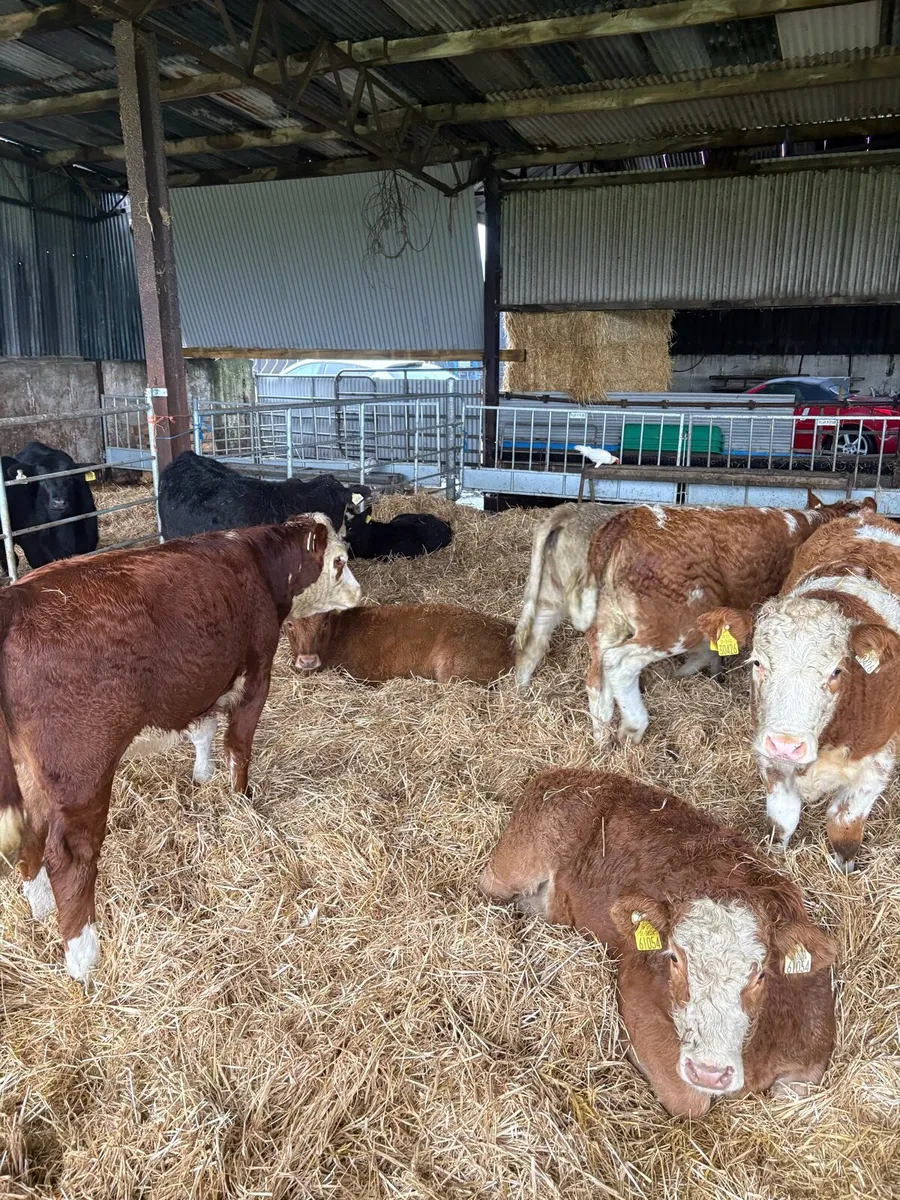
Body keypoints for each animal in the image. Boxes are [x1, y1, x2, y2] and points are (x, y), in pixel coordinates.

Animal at [0, 515, 360, 983]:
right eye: (339, 560)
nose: (358, 593)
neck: (256, 562)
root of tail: (16, 596)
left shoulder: (202, 682)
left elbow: (204, 729)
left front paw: (203, 777)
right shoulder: (257, 673)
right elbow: (239, 744)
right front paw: (242, 800)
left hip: (26, 769)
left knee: (30, 836)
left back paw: (40, 910)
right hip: (81, 771)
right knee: (70, 858)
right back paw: (84, 962)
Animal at [481, 768, 837, 1118]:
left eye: (761, 973)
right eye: (675, 958)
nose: (709, 1073)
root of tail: (561, 774)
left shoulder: (813, 1046)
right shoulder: (638, 999)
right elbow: (689, 1102)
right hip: (513, 866)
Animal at [584, 493, 872, 745]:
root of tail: (629, 519)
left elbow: (712, 649)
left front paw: (712, 674)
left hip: (609, 620)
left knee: (597, 675)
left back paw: (601, 739)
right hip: (674, 625)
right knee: (619, 662)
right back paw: (634, 725)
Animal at [699, 507, 900, 872]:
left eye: (836, 670)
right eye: (757, 663)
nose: (787, 745)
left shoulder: (876, 766)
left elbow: (844, 827)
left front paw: (843, 872)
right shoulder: (769, 754)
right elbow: (783, 818)